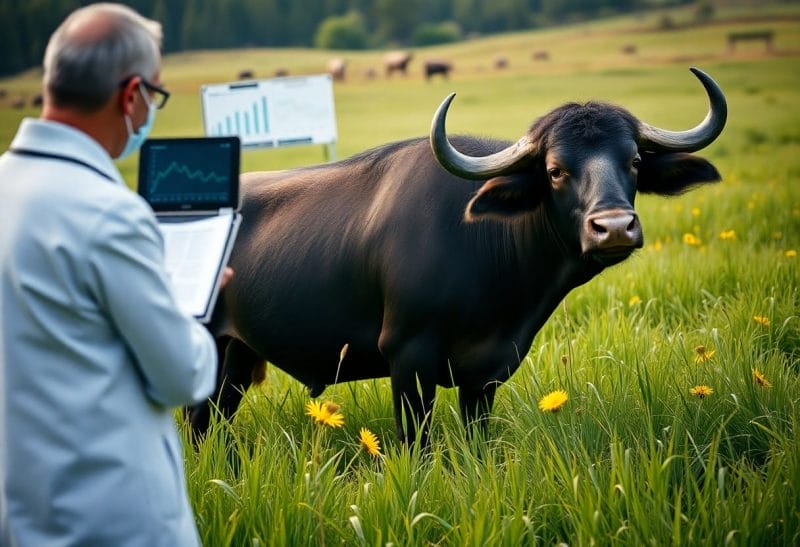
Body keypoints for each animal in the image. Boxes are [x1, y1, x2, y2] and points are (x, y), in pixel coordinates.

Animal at [191, 68, 727, 445]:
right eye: (555, 170)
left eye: (633, 161)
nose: (613, 227)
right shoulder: (408, 358)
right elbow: (417, 443)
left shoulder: (483, 377)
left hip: (235, 358)